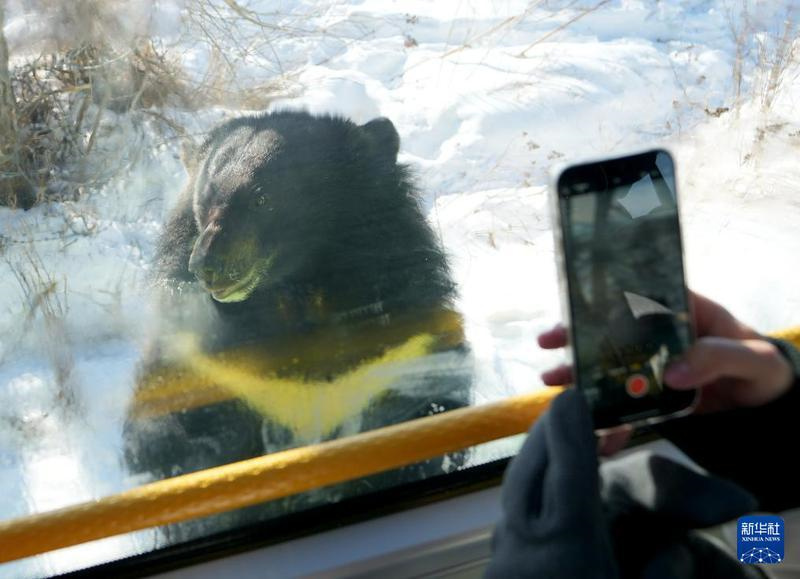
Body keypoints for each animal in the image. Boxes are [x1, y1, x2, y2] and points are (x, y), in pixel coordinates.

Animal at [126, 112, 476, 540]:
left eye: (262, 199)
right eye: (204, 203)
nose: (205, 266)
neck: (298, 296)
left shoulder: (404, 342)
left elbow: (428, 411)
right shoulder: (204, 363)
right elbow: (173, 437)